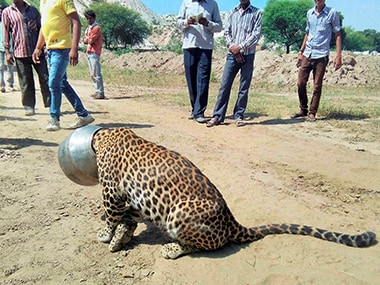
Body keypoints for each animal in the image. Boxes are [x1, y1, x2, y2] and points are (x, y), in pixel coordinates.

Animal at [90, 126, 376, 258]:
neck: (105, 135)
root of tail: (231, 221)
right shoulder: (134, 198)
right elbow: (129, 216)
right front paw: (121, 236)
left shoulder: (111, 191)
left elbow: (111, 215)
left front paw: (105, 234)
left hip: (180, 213)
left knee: (201, 246)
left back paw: (172, 248)